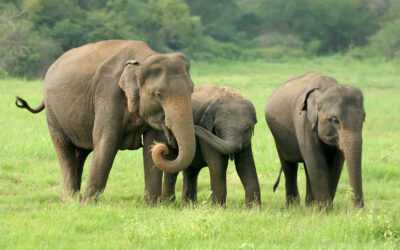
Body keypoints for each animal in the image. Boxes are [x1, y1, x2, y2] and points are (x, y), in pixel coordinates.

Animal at [14, 39, 196, 203]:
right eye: (158, 94)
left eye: (192, 90)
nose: (167, 147)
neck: (143, 58)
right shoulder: (108, 93)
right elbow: (106, 141)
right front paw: (88, 204)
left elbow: (152, 141)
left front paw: (151, 204)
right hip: (53, 115)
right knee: (64, 149)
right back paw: (71, 199)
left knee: (80, 153)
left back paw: (75, 198)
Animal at [266, 73, 366, 209]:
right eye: (334, 120)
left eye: (363, 118)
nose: (358, 209)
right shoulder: (304, 122)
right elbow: (317, 162)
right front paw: (324, 210)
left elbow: (336, 164)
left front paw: (323, 208)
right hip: (278, 138)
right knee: (289, 165)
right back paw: (293, 207)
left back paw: (309, 205)